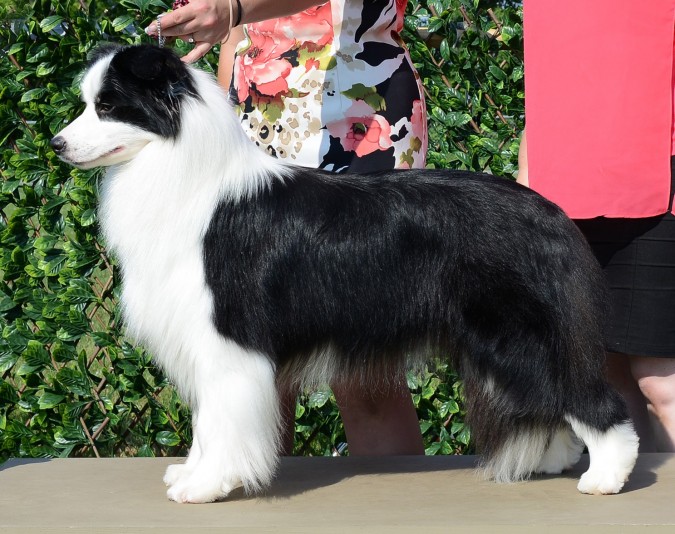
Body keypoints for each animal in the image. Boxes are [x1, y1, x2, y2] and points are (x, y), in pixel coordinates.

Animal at [51, 45, 640, 502]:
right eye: (86, 104)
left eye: (108, 106)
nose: (56, 144)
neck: (178, 166)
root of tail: (551, 213)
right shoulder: (203, 339)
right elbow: (205, 423)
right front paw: (191, 474)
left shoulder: (228, 337)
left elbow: (221, 420)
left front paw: (208, 486)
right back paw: (555, 461)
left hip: (520, 335)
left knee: (595, 401)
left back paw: (606, 477)